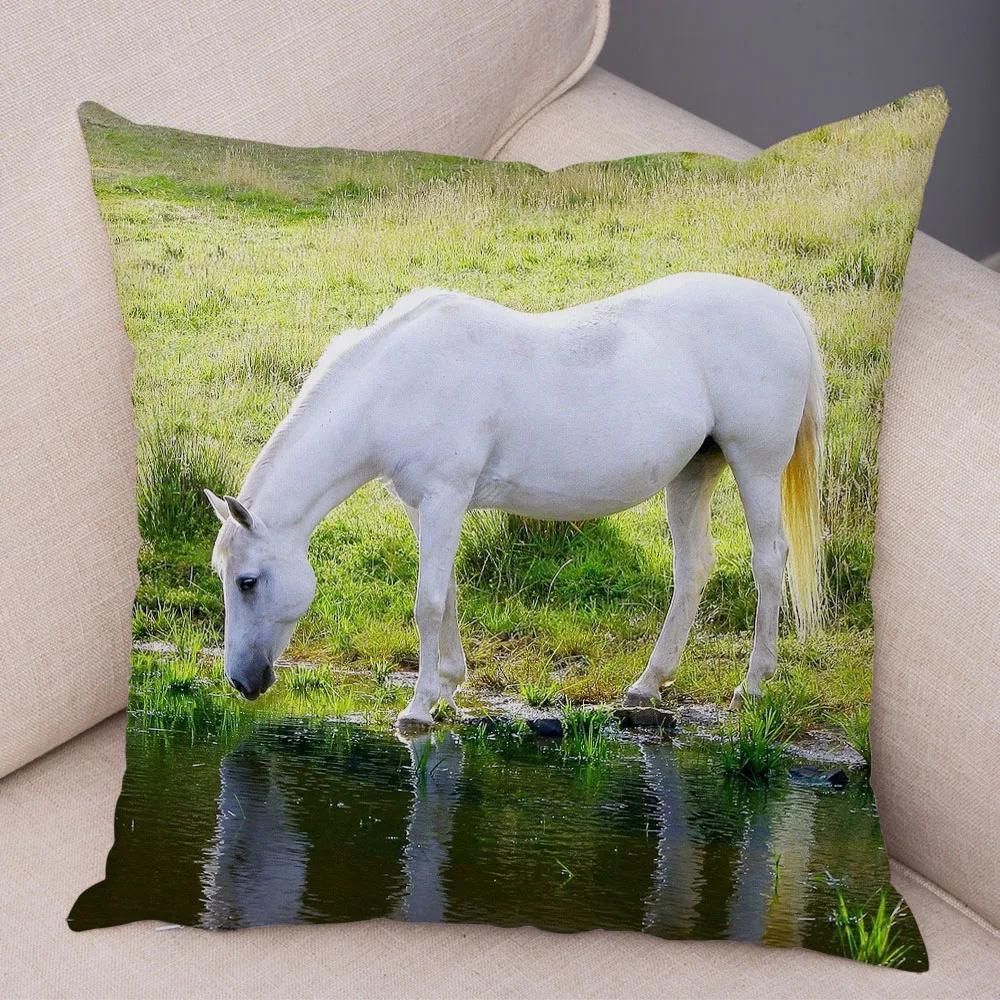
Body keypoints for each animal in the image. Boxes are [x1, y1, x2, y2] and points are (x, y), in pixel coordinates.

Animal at [206, 272, 825, 727]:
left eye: (247, 582)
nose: (242, 681)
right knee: (693, 567)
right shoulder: (425, 505)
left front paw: (418, 708)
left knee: (768, 562)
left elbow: (428, 601)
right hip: (693, 473)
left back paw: (753, 685)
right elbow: (447, 594)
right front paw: (449, 688)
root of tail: (782, 305)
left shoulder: (444, 497)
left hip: (755, 465)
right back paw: (647, 685)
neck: (399, 380)